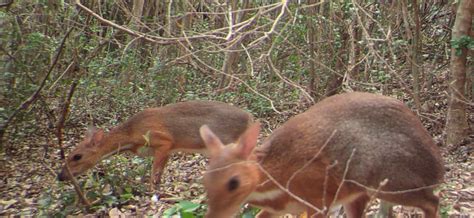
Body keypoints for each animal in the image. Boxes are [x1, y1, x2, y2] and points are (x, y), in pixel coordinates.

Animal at [57, 100, 254, 191]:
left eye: (77, 156)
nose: (60, 176)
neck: (131, 134)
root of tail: (249, 117)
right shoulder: (166, 150)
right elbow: (159, 172)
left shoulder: (163, 141)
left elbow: (154, 172)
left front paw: (152, 191)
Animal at [199, 92, 444, 218]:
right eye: (205, 180)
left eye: (233, 182)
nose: (213, 216)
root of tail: (439, 169)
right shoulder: (277, 210)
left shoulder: (319, 201)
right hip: (359, 194)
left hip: (390, 183)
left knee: (433, 201)